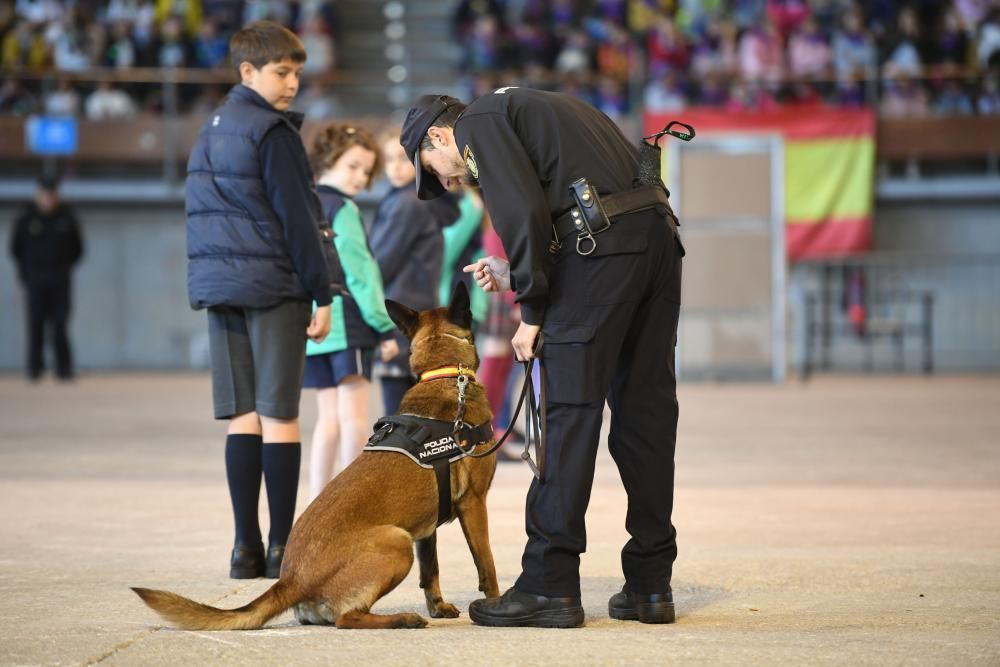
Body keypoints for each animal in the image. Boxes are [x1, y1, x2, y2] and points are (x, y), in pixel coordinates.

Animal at [135, 284, 500, 628]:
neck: (445, 374)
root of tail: (290, 580)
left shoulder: (426, 528)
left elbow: (431, 569)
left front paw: (438, 607)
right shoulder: (474, 504)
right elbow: (487, 564)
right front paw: (495, 603)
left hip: (403, 538)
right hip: (396, 540)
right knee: (347, 618)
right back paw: (401, 619)